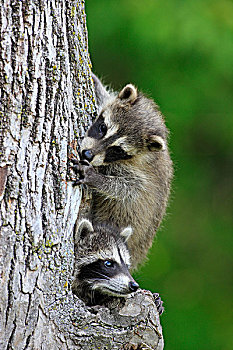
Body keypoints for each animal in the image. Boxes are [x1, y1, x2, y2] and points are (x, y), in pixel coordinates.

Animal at [73, 74, 173, 270]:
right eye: (103, 128)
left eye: (117, 150)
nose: (87, 154)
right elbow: (104, 94)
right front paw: (95, 81)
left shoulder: (140, 174)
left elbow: (127, 190)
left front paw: (95, 178)